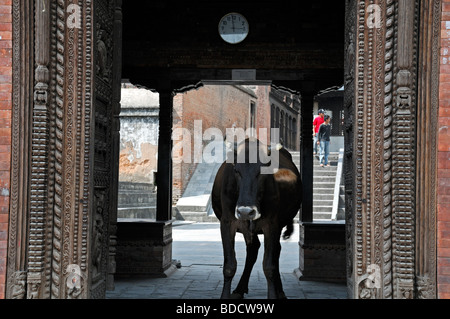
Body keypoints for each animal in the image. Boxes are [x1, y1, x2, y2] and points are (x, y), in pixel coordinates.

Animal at [211, 138, 302, 300]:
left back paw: (280, 291)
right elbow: (229, 266)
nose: (245, 211)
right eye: (236, 170)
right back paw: (239, 289)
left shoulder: (271, 225)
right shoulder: (227, 223)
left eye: (263, 171)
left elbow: (269, 266)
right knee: (253, 250)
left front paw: (273, 295)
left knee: (274, 252)